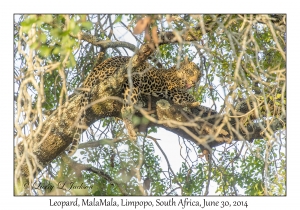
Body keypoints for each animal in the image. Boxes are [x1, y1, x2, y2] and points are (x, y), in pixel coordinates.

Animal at [67, 55, 202, 156]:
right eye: (190, 71)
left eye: (199, 76)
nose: (194, 82)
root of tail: (94, 70)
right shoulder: (173, 90)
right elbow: (190, 97)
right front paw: (197, 105)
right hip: (133, 78)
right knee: (125, 109)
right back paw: (132, 133)